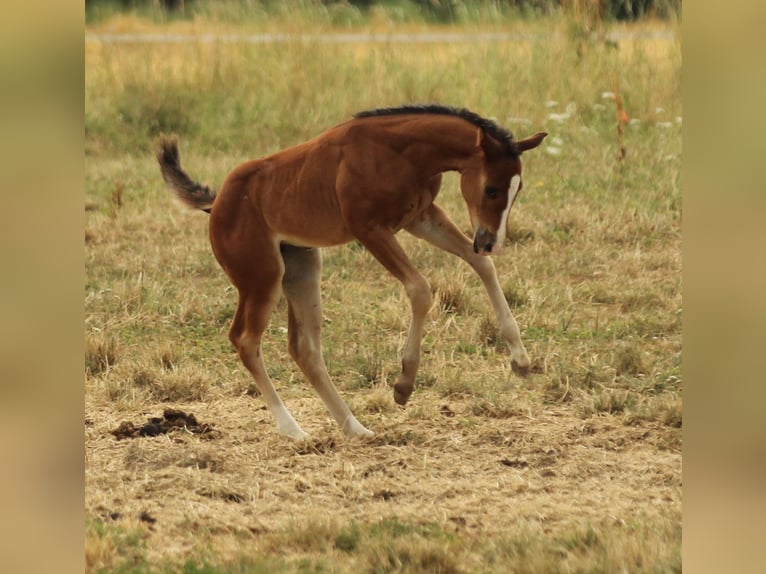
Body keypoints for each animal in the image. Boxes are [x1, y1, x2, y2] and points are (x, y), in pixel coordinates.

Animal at [157, 104, 546, 439]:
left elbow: (480, 265)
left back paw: (355, 428)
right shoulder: (370, 229)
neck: (400, 152)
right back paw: (293, 429)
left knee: (304, 348)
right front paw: (404, 384)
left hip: (302, 267)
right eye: (491, 189)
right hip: (261, 280)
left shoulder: (420, 217)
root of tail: (217, 202)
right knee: (246, 340)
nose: (491, 241)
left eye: (518, 189)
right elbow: (420, 289)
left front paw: (521, 360)